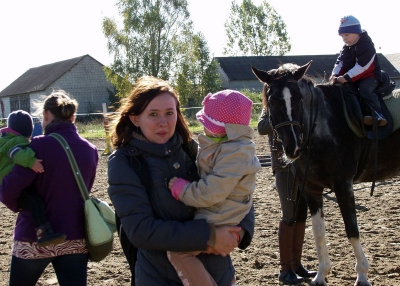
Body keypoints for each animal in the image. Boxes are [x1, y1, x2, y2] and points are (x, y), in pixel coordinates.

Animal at [253, 61, 400, 286]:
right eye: (271, 99)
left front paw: (362, 275)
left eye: (299, 97)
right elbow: (318, 232)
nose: (292, 147)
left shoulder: (343, 185)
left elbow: (352, 230)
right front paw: (321, 275)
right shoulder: (311, 190)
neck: (322, 128)